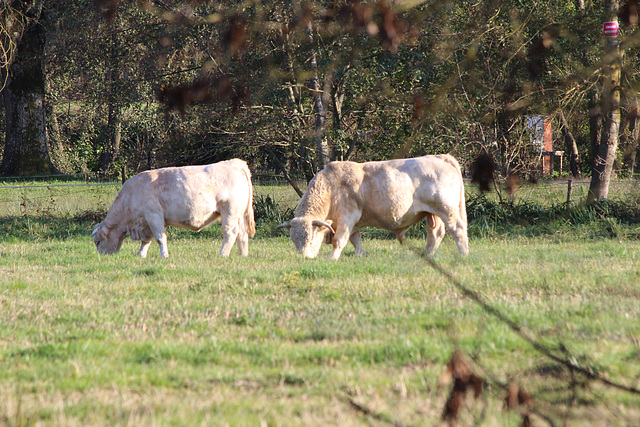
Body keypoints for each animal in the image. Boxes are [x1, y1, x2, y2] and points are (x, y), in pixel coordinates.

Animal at [92, 160, 255, 260]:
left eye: (97, 242)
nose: (102, 257)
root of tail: (233, 162)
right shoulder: (146, 222)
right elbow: (146, 241)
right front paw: (141, 255)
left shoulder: (154, 215)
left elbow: (160, 237)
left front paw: (164, 255)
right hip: (239, 215)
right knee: (242, 234)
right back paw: (243, 255)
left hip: (229, 213)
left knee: (230, 233)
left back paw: (222, 254)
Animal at [278, 155, 468, 260]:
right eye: (294, 240)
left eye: (310, 239)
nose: (305, 258)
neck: (331, 187)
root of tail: (438, 157)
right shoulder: (353, 223)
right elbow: (355, 240)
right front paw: (360, 255)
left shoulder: (347, 218)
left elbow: (339, 240)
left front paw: (332, 258)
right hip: (432, 213)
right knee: (435, 234)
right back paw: (426, 255)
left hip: (447, 209)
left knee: (457, 229)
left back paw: (463, 254)